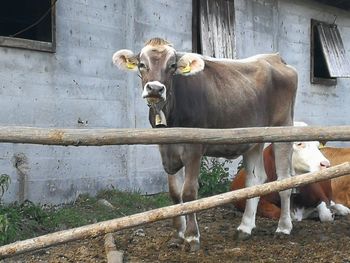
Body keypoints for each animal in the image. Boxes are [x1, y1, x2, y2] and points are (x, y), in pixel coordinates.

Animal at [113, 37, 298, 252]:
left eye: (172, 65)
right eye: (142, 64)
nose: (155, 89)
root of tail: (275, 57)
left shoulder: (194, 148)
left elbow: (189, 193)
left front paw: (192, 237)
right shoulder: (166, 149)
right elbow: (175, 194)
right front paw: (178, 235)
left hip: (283, 128)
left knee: (284, 181)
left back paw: (283, 228)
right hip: (253, 138)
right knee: (255, 179)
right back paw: (245, 227)